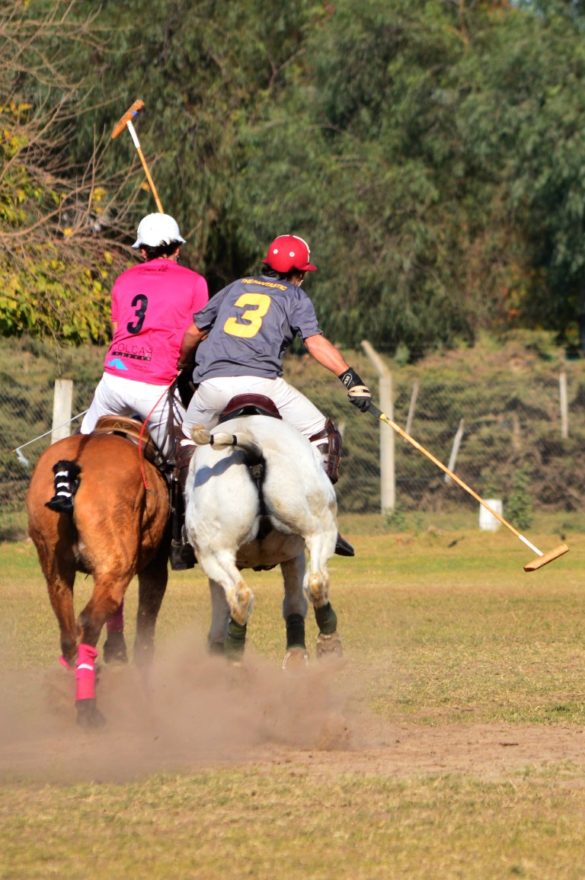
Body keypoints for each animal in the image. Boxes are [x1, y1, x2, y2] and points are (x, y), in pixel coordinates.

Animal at [27, 430, 169, 724]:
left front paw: (115, 653)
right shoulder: (153, 568)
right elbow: (144, 637)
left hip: (56, 567)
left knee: (69, 632)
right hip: (118, 564)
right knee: (90, 621)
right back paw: (87, 708)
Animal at [186, 416, 342, 664]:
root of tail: (253, 450)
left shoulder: (291, 556)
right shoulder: (294, 553)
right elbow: (295, 602)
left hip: (211, 551)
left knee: (239, 595)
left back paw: (234, 663)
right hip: (319, 528)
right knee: (316, 580)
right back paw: (330, 646)